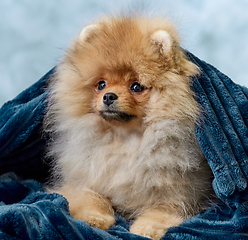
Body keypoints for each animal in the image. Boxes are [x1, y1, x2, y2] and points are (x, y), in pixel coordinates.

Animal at [45, 15, 213, 240]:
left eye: (136, 86)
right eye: (101, 84)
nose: (108, 96)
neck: (125, 142)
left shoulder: (183, 192)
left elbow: (164, 209)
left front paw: (147, 228)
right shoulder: (83, 178)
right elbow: (88, 195)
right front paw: (94, 217)